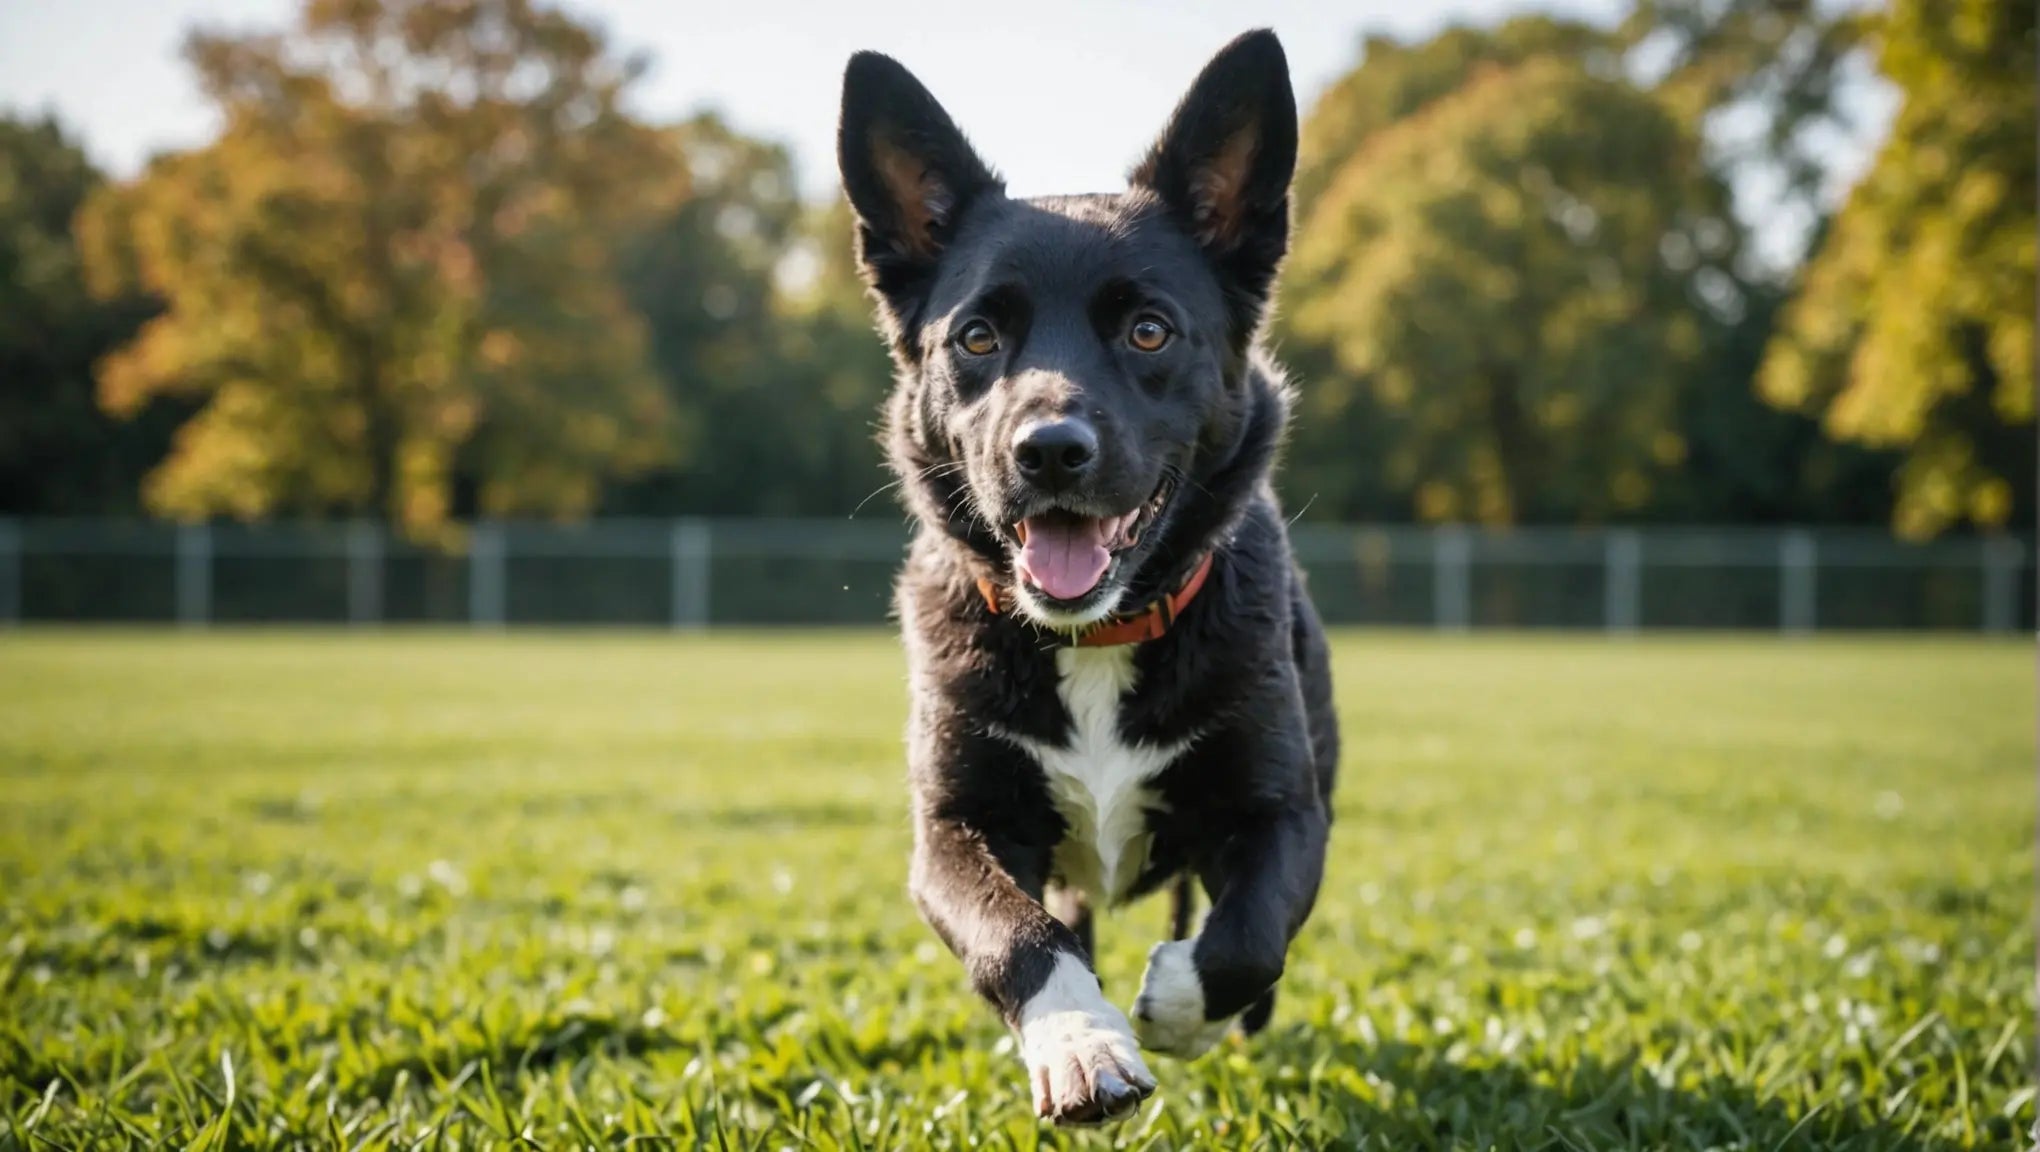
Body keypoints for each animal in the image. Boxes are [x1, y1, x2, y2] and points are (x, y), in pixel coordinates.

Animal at [832, 27, 1338, 1125]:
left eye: (1149, 329)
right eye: (976, 337)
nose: (1049, 450)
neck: (1093, 638)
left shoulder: (1283, 811)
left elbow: (1246, 939)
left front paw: (1179, 1010)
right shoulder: (955, 829)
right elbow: (1018, 937)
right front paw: (1081, 1043)